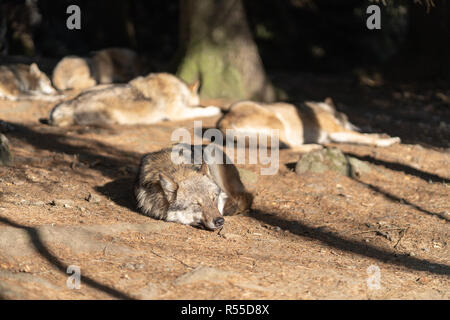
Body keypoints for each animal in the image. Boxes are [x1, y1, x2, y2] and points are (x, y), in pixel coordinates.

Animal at [48, 72, 222, 126]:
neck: (180, 88)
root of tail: (74, 102)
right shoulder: (178, 113)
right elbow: (200, 111)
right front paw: (215, 109)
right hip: (110, 117)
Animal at [216, 99, 400, 149]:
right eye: (348, 119)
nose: (357, 126)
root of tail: (224, 120)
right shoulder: (336, 130)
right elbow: (365, 138)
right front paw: (387, 141)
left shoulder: (335, 135)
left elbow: (365, 135)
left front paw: (383, 135)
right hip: (278, 122)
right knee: (291, 147)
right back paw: (314, 147)